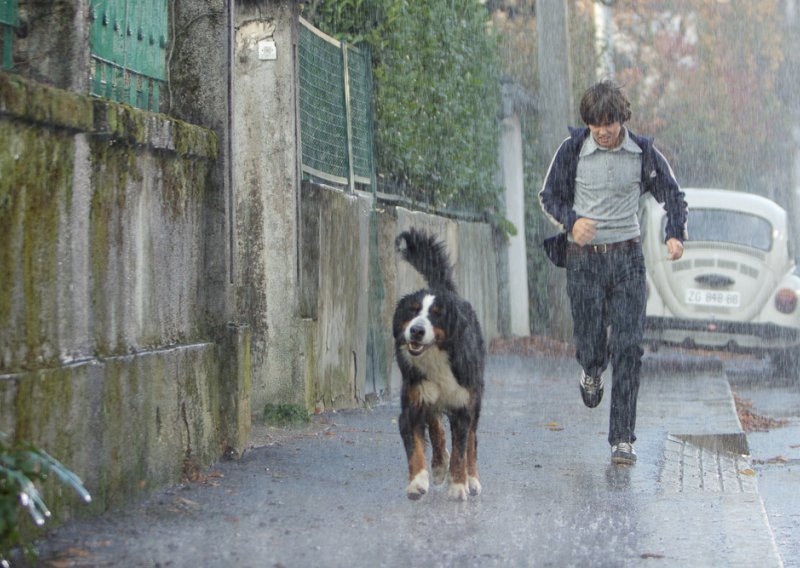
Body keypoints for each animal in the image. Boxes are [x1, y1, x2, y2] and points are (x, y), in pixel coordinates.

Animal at [394, 229, 488, 500]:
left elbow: (461, 450)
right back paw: (437, 466)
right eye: (413, 311)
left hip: (475, 398)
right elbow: (415, 448)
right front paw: (418, 481)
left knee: (472, 442)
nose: (416, 330)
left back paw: (472, 478)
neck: (436, 358)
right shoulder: (412, 405)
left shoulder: (463, 407)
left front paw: (459, 485)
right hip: (427, 395)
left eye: (437, 314)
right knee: (436, 426)